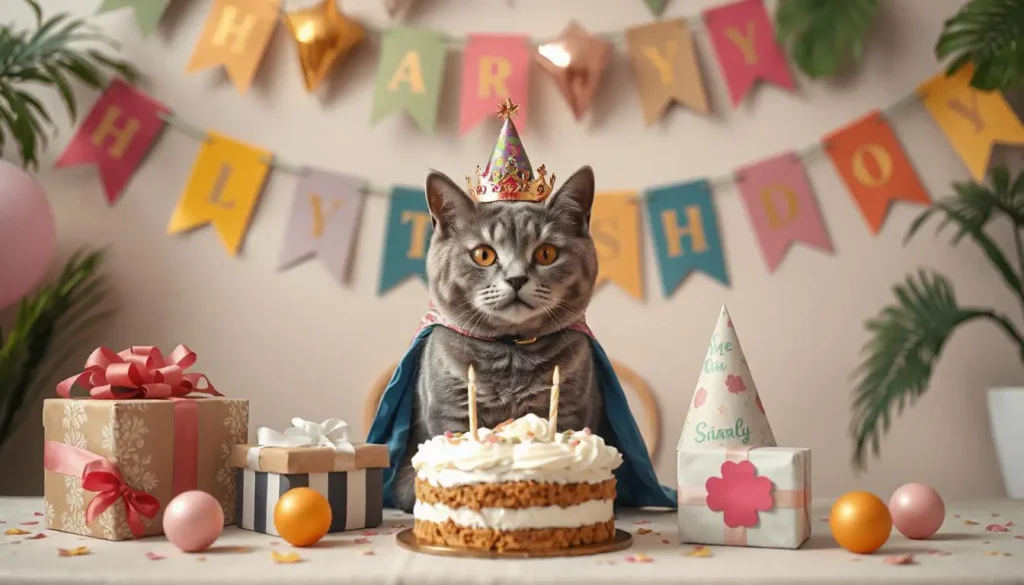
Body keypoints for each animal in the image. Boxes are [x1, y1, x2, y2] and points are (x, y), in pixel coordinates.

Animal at [389, 164, 598, 512]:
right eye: (483, 255)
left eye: (546, 253)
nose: (516, 278)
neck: (511, 349)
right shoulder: (450, 411)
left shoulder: (570, 407)